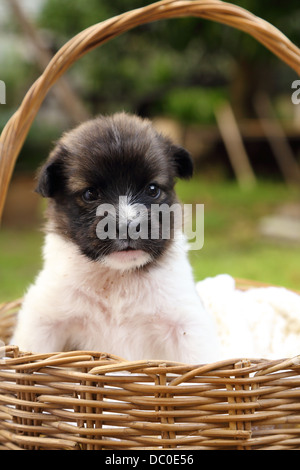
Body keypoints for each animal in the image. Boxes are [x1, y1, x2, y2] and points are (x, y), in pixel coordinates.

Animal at [10, 113, 219, 364]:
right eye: (90, 194)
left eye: (152, 189)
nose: (129, 227)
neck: (118, 278)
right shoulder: (42, 319)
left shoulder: (186, 324)